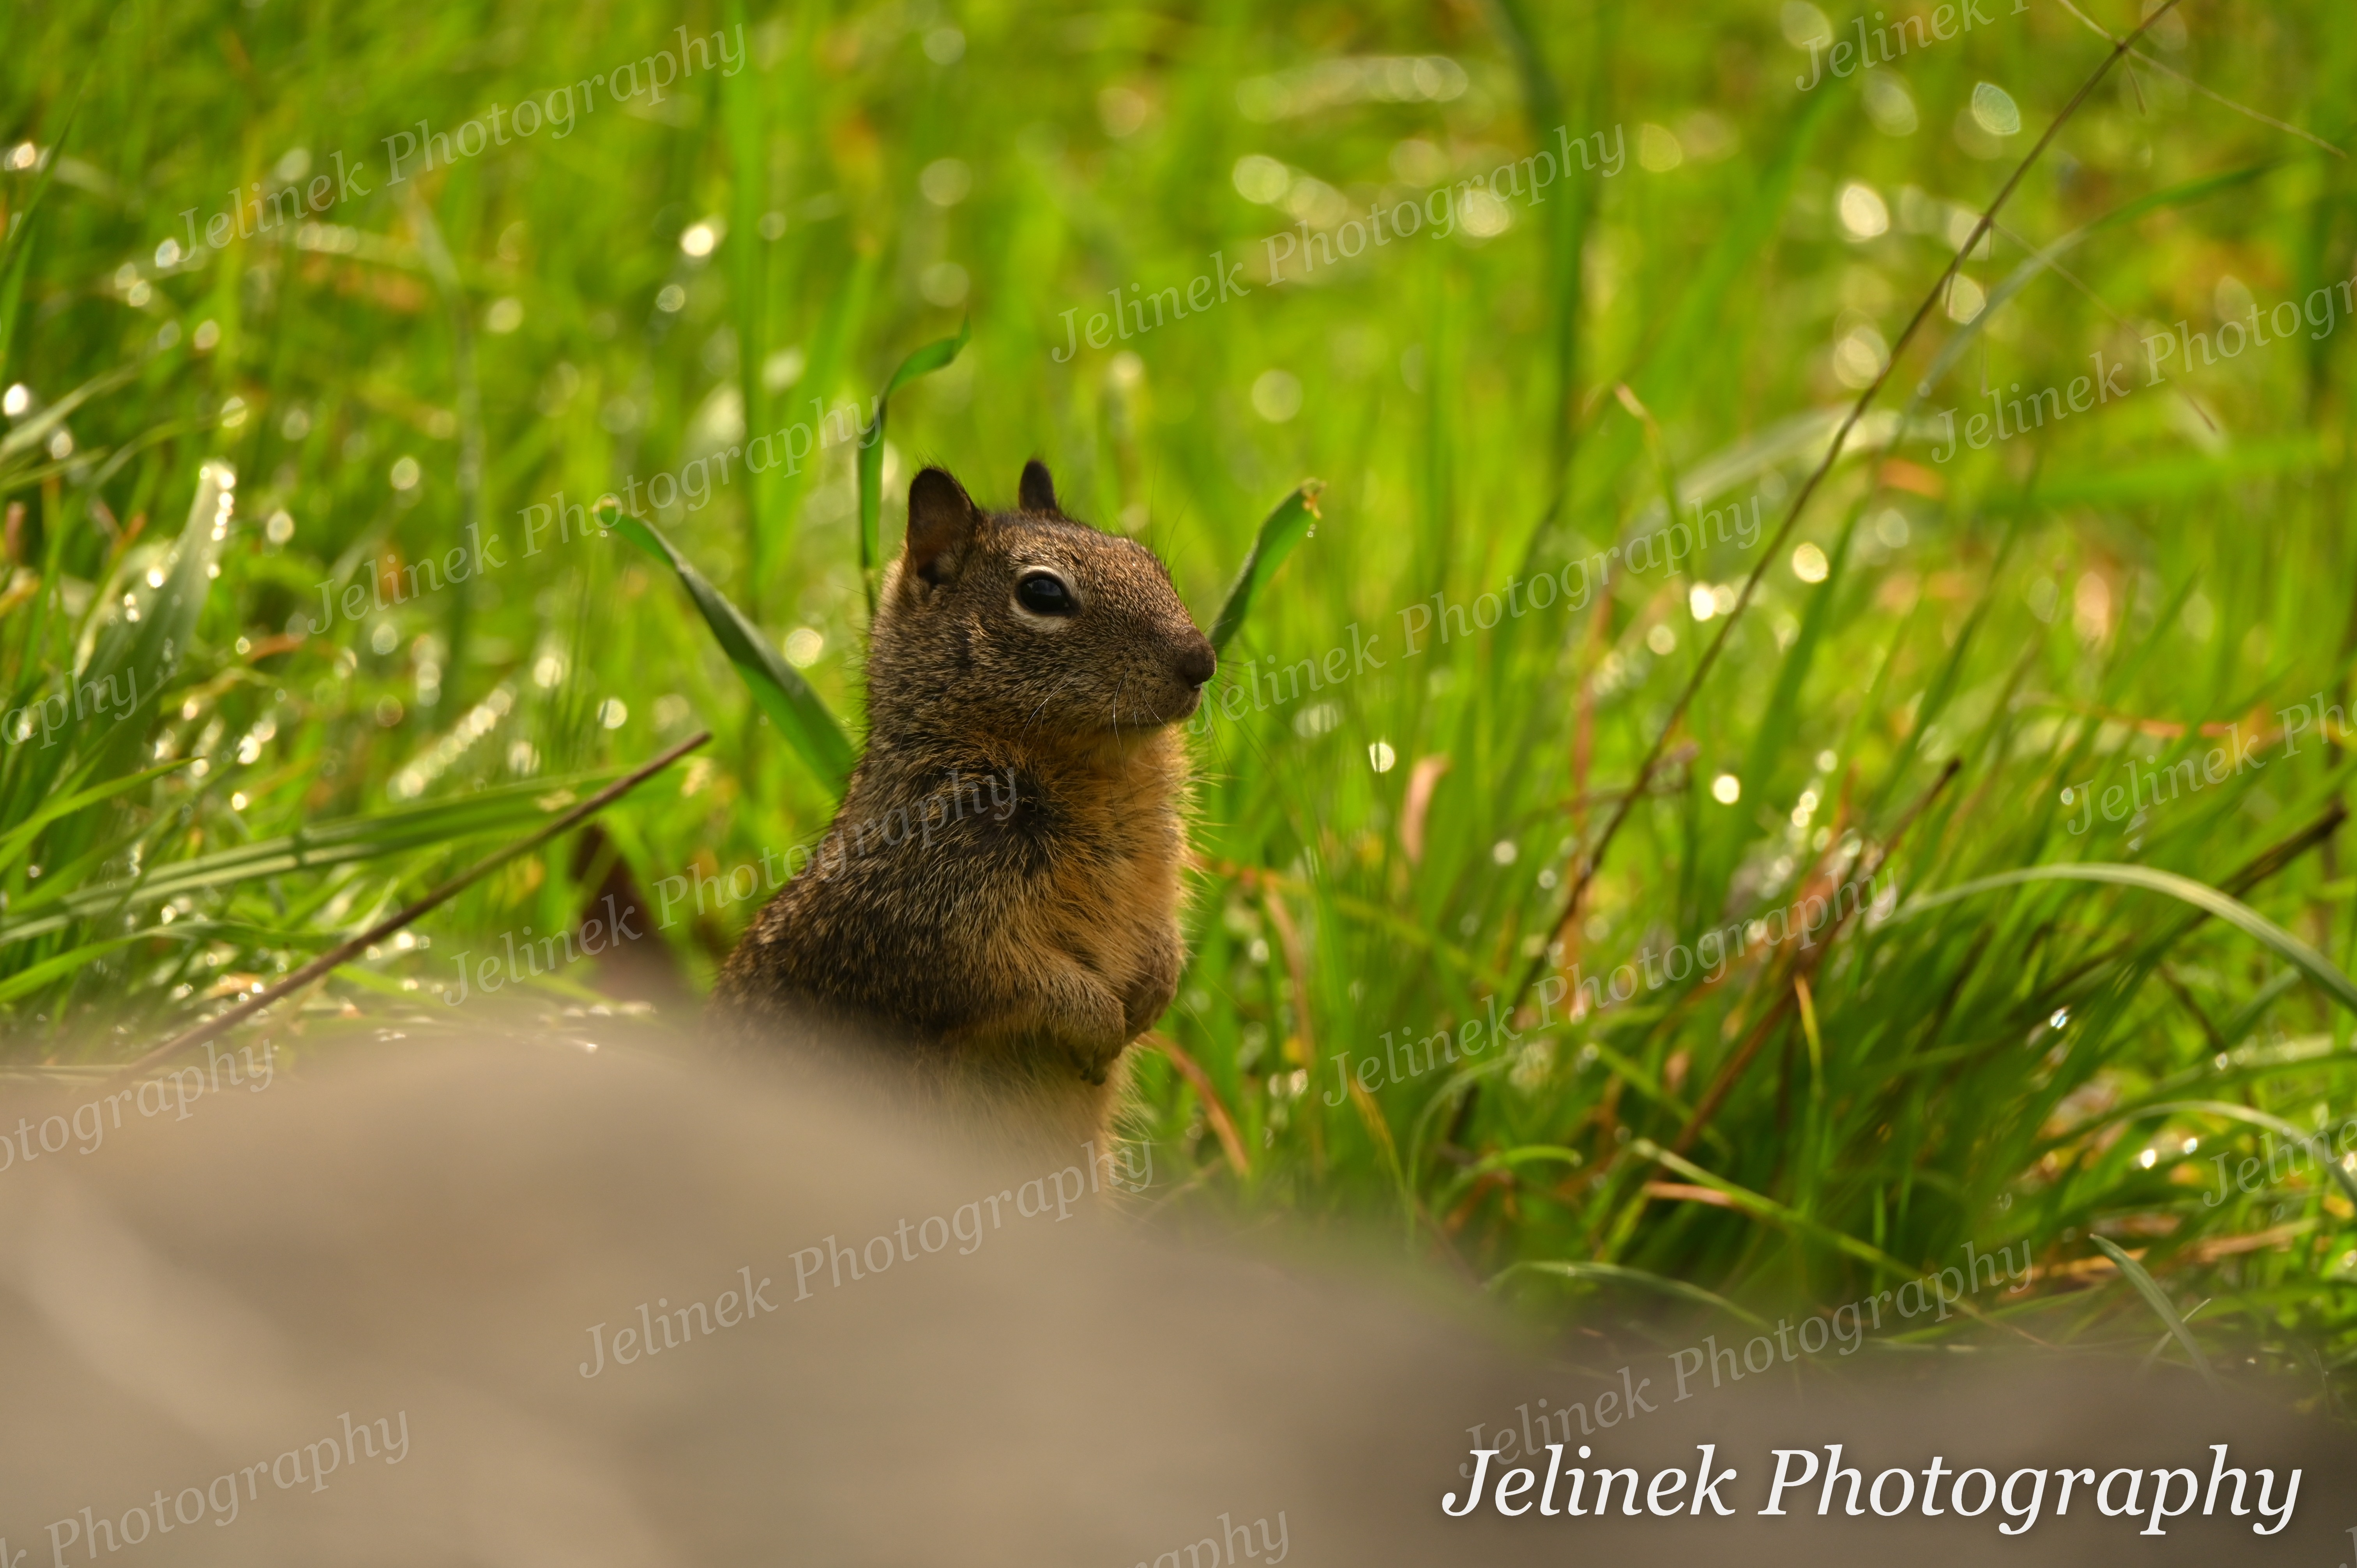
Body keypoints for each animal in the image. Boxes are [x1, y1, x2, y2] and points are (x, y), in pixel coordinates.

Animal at [714, 460, 1215, 1165]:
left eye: (1149, 561)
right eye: (1042, 593)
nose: (1202, 661)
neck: (1101, 769)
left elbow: (1163, 938)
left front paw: (1155, 992)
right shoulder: (928, 911)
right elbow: (1003, 978)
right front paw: (1099, 1022)